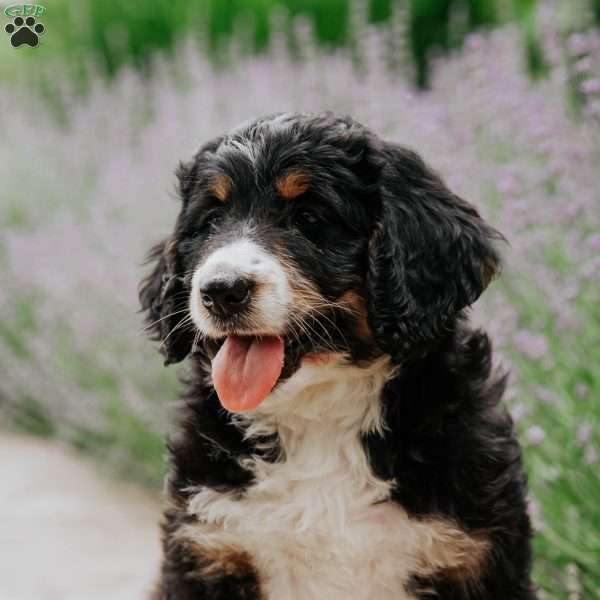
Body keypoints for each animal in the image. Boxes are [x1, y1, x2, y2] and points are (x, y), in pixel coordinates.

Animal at [139, 112, 536, 600]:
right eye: (212, 220)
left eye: (309, 218)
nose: (221, 290)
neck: (320, 417)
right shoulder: (207, 549)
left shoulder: (474, 559)